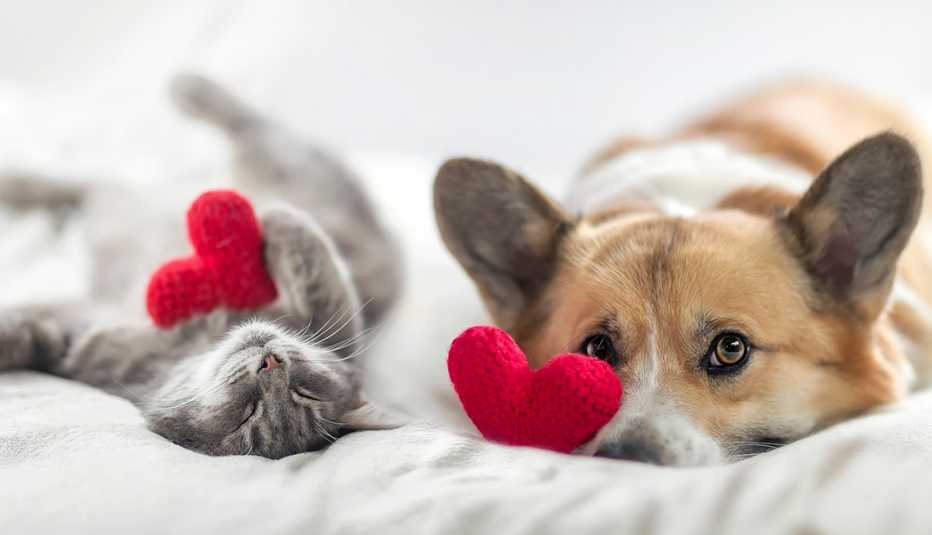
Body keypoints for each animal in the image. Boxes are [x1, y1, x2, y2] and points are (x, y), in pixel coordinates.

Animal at [0, 74, 400, 460]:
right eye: (305, 392)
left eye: (249, 416)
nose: (270, 363)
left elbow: (314, 263)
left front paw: (271, 217)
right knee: (83, 186)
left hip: (282, 169)